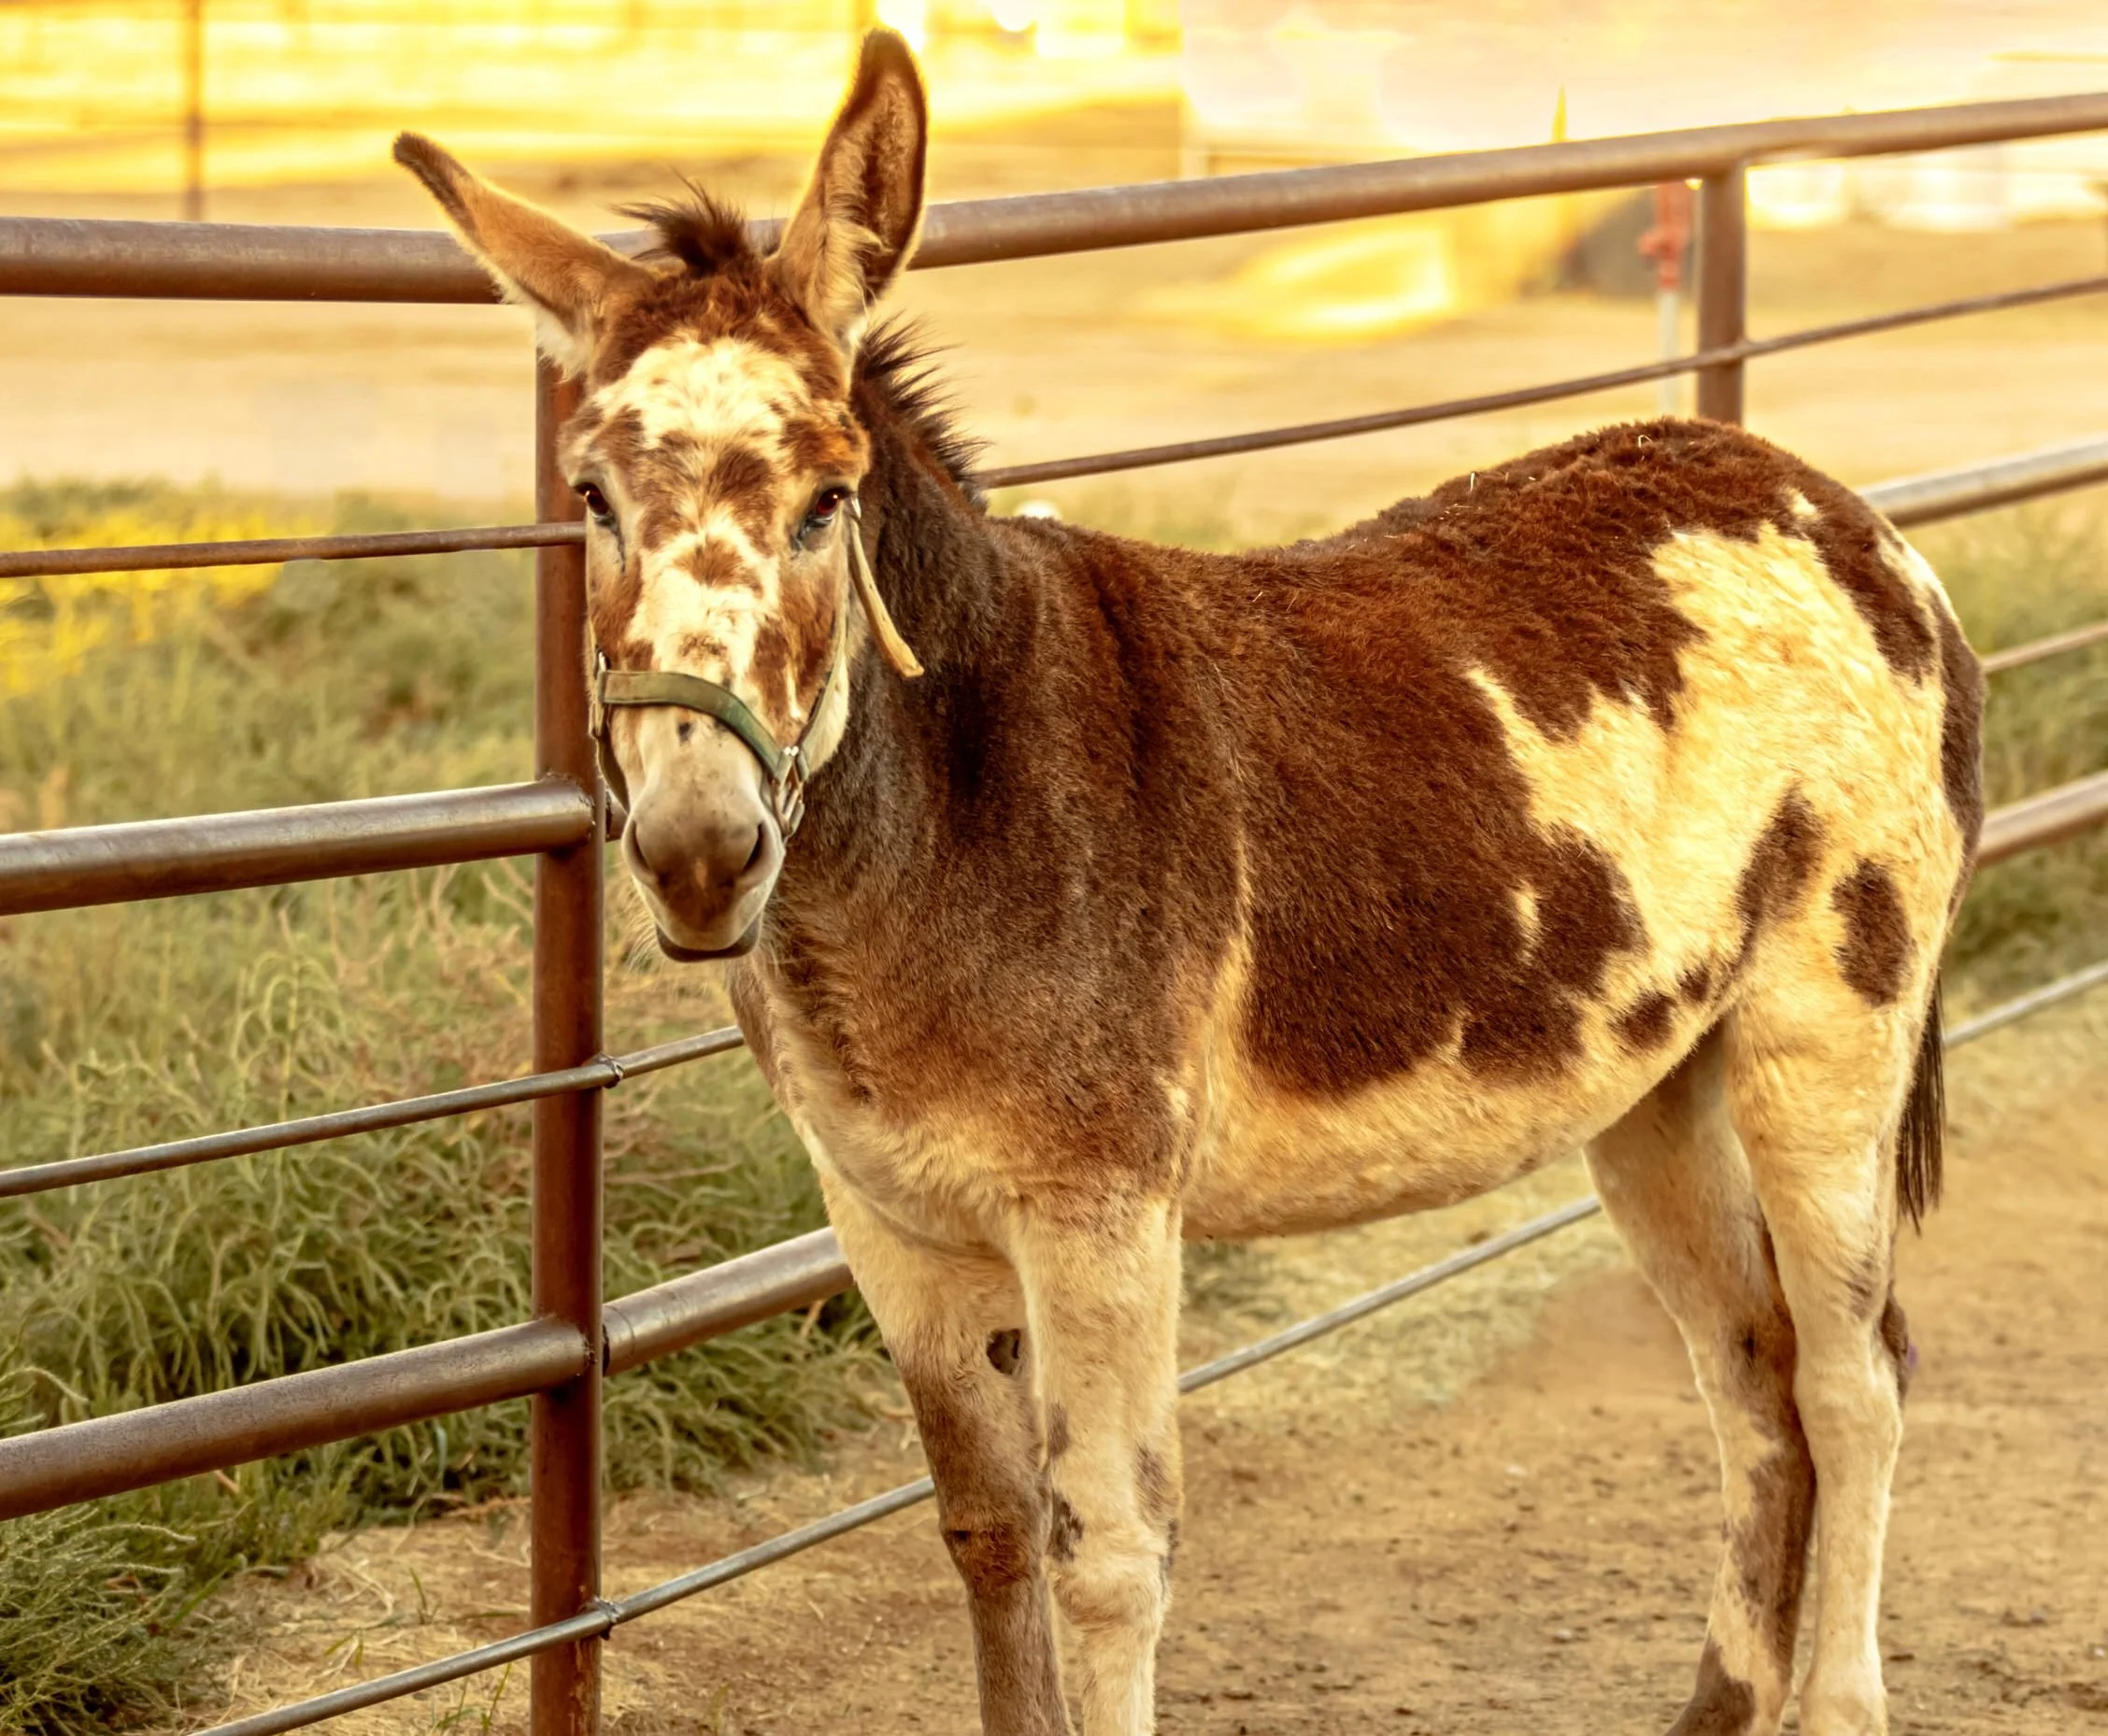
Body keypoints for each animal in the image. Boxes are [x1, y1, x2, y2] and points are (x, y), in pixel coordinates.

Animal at [398, 30, 1982, 1736]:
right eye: (592, 498)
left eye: (826, 500)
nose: (700, 851)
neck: (953, 819)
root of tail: (1843, 509)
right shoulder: (893, 1227)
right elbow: (987, 1533)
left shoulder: (1102, 1212)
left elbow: (1107, 1553)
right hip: (1653, 1084)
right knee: (1753, 1379)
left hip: (1827, 1036)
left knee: (1853, 1373)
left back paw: (1840, 1700)